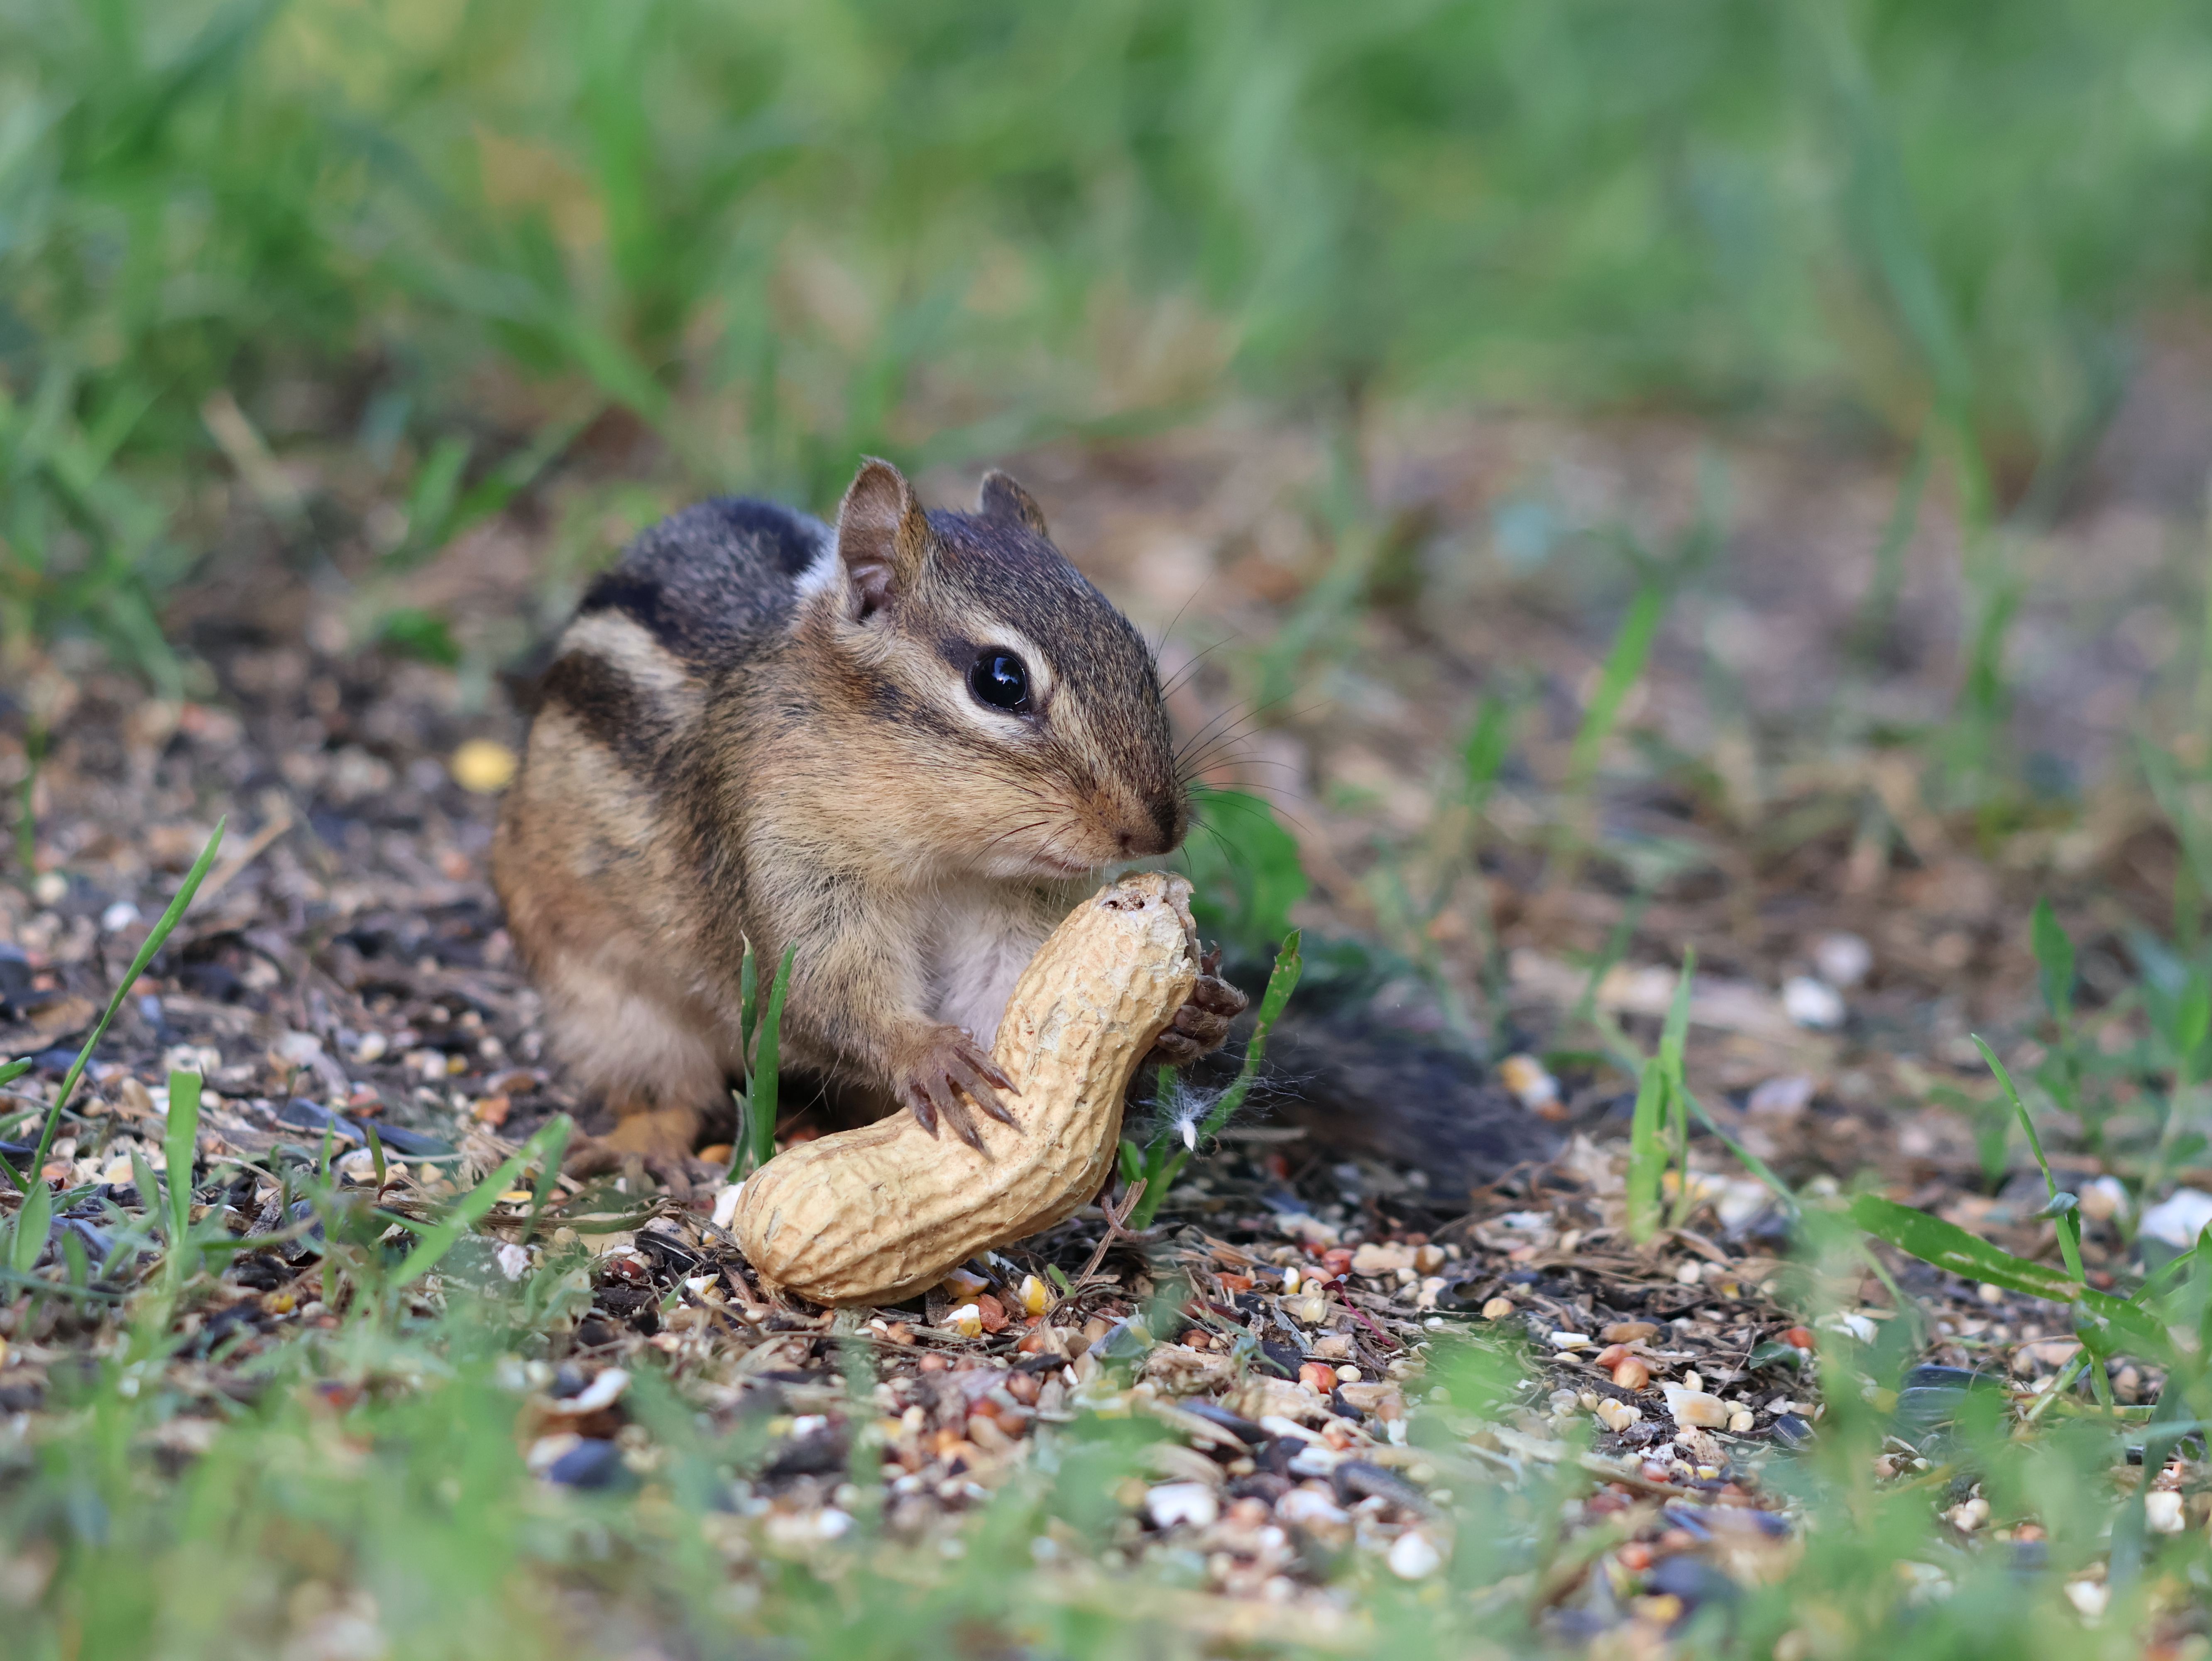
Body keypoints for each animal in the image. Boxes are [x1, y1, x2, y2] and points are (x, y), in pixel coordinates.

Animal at [491, 458, 1250, 1190]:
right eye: (999, 679)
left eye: (1137, 653)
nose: (1159, 832)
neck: (943, 856)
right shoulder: (781, 860)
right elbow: (817, 989)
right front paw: (928, 1053)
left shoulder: (1011, 909)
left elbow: (1016, 1001)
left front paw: (1191, 1015)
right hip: (610, 1004)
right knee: (663, 1086)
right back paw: (646, 1145)